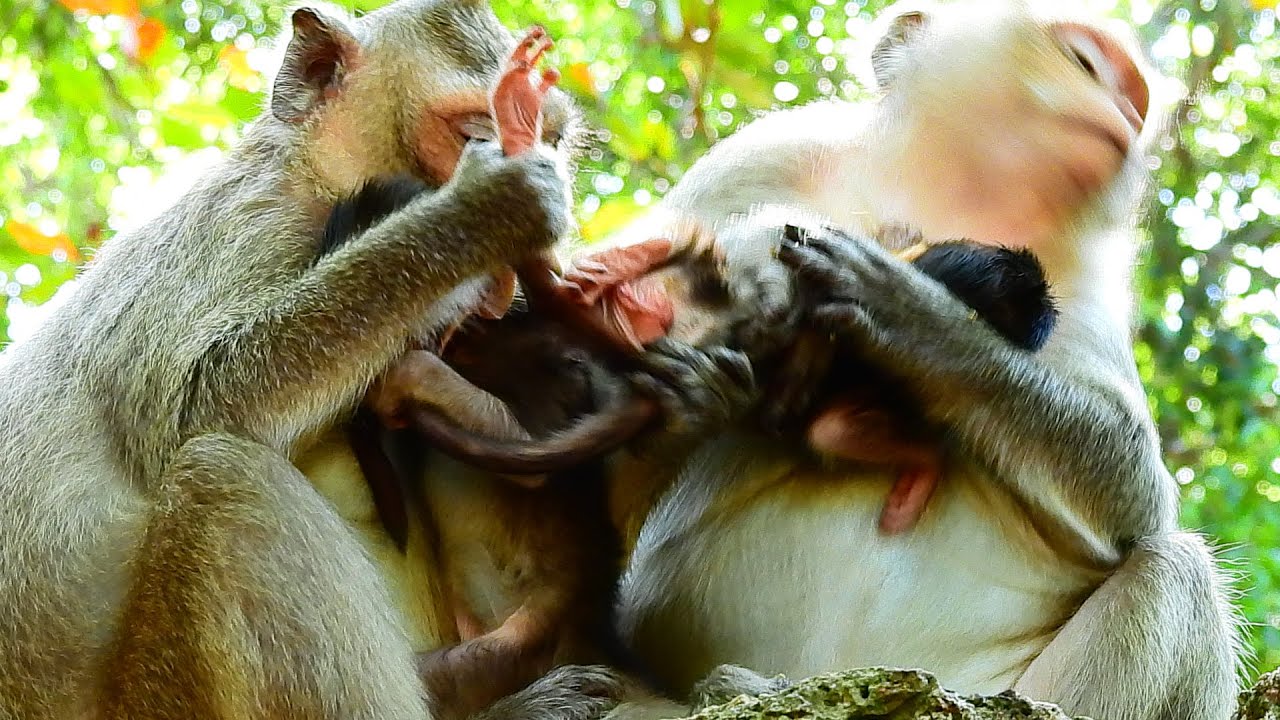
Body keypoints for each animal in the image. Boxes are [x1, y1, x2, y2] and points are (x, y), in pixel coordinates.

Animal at [0, 1, 661, 717]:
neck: (314, 179)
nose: (528, 271)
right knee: (223, 478)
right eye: (476, 131)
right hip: (158, 697)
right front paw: (487, 211)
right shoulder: (249, 225)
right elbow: (195, 406)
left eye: (553, 137)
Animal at [569, 2, 1243, 719]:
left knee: (1173, 571)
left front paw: (915, 317)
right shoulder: (769, 151)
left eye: (1132, 91)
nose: (1124, 100)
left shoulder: (1090, 273)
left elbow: (1133, 495)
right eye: (1083, 59)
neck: (960, 193)